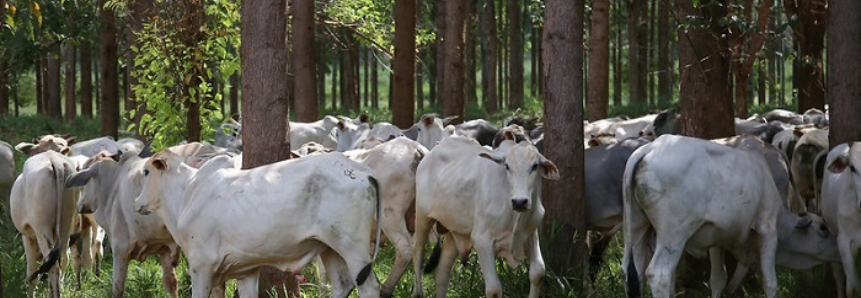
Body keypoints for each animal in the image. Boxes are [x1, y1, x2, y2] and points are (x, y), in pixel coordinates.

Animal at [10, 151, 78, 298]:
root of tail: (54, 159)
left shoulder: (27, 237)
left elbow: (32, 272)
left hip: (42, 231)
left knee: (53, 267)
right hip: (66, 229)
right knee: (62, 262)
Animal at [134, 151, 380, 298]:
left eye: (146, 171)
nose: (137, 202)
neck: (187, 193)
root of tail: (364, 172)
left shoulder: (201, 265)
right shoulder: (246, 271)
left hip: (352, 247)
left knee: (369, 287)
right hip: (329, 247)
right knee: (342, 284)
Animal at [414, 137, 560, 298]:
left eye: (535, 166)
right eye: (507, 166)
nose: (519, 202)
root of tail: (431, 152)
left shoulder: (530, 234)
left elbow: (538, 273)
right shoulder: (482, 240)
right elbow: (494, 289)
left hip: (454, 232)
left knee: (442, 272)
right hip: (422, 217)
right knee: (418, 251)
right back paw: (417, 291)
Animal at [620, 136, 836, 298]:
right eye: (823, 228)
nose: (836, 253)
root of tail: (649, 149)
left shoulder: (716, 239)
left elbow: (718, 279)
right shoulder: (767, 230)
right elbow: (770, 282)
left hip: (638, 228)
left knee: (635, 273)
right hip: (673, 235)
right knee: (659, 275)